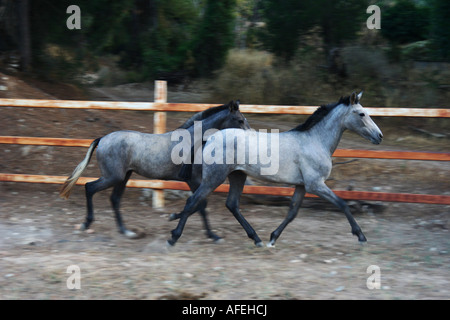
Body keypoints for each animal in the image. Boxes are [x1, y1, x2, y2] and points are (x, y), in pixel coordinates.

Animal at [59, 101, 250, 239]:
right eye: (240, 120)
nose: (249, 137)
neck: (194, 141)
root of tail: (103, 139)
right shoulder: (194, 179)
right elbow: (200, 204)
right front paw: (211, 235)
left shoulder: (196, 181)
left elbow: (198, 205)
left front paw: (175, 219)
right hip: (112, 177)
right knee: (90, 188)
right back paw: (86, 224)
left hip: (123, 177)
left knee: (114, 199)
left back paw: (126, 231)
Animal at [169, 91, 384, 246]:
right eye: (362, 114)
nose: (379, 136)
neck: (315, 141)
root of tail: (211, 137)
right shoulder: (315, 185)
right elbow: (342, 204)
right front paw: (360, 236)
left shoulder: (302, 186)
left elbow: (292, 212)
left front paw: (273, 238)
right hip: (214, 178)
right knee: (194, 201)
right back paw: (174, 236)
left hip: (237, 176)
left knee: (231, 204)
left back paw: (256, 239)